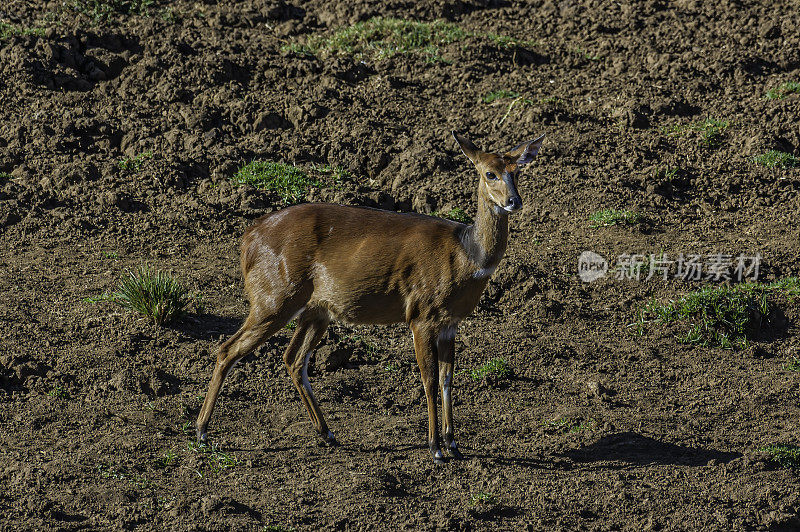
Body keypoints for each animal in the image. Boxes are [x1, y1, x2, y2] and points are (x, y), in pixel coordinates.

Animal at [196, 130, 544, 462]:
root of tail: (247, 240)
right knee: (228, 348)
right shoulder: (421, 314)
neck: (466, 256)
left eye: (517, 171)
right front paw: (435, 449)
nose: (514, 201)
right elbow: (429, 379)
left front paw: (454, 445)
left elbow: (447, 379)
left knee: (292, 358)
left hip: (316, 309)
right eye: (489, 173)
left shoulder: (450, 322)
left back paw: (328, 434)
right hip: (274, 297)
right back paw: (202, 433)